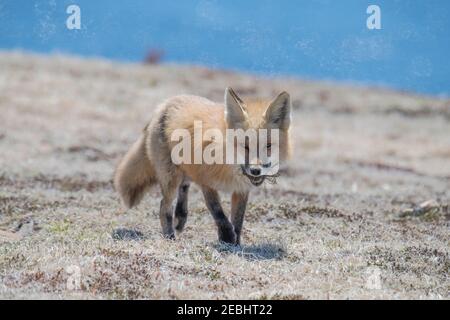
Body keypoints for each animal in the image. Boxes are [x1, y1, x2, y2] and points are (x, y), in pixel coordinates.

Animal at [113, 87, 292, 245]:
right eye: (244, 146)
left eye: (268, 146)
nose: (255, 171)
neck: (228, 165)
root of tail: (164, 104)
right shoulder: (205, 181)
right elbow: (218, 212)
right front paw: (227, 238)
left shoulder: (241, 189)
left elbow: (238, 220)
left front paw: (236, 244)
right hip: (171, 177)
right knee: (164, 206)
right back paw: (170, 236)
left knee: (184, 186)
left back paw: (181, 217)